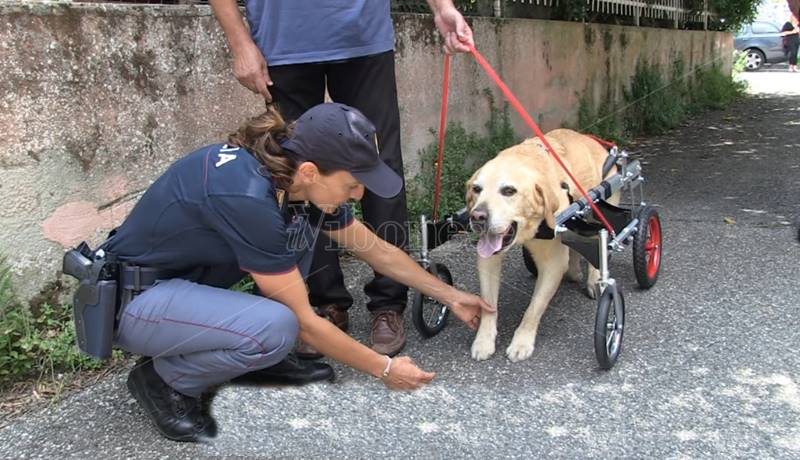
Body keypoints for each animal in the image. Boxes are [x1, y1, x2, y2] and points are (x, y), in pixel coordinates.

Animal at [466, 127, 616, 362]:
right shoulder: (488, 260)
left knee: (597, 244)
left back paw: (595, 280)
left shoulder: (552, 262)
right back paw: (574, 271)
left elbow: (534, 308)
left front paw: (522, 342)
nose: (477, 217)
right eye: (476, 189)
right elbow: (488, 305)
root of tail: (593, 141)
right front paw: (483, 341)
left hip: (596, 214)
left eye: (508, 191)